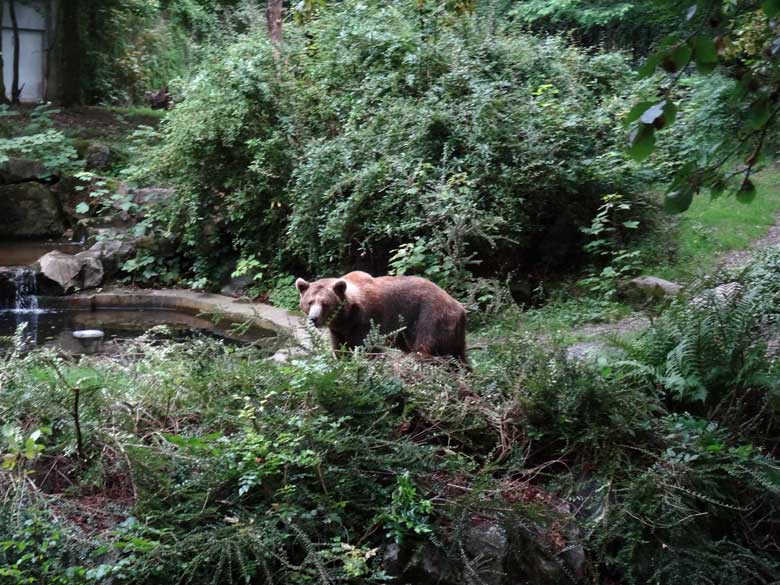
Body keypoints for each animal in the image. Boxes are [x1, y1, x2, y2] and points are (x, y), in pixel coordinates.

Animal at [294, 270, 466, 362]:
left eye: (325, 303)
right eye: (310, 302)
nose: (313, 318)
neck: (347, 317)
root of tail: (459, 307)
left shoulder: (367, 321)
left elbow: (368, 348)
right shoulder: (338, 331)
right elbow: (340, 349)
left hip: (431, 317)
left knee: (425, 347)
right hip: (454, 333)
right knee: (459, 357)